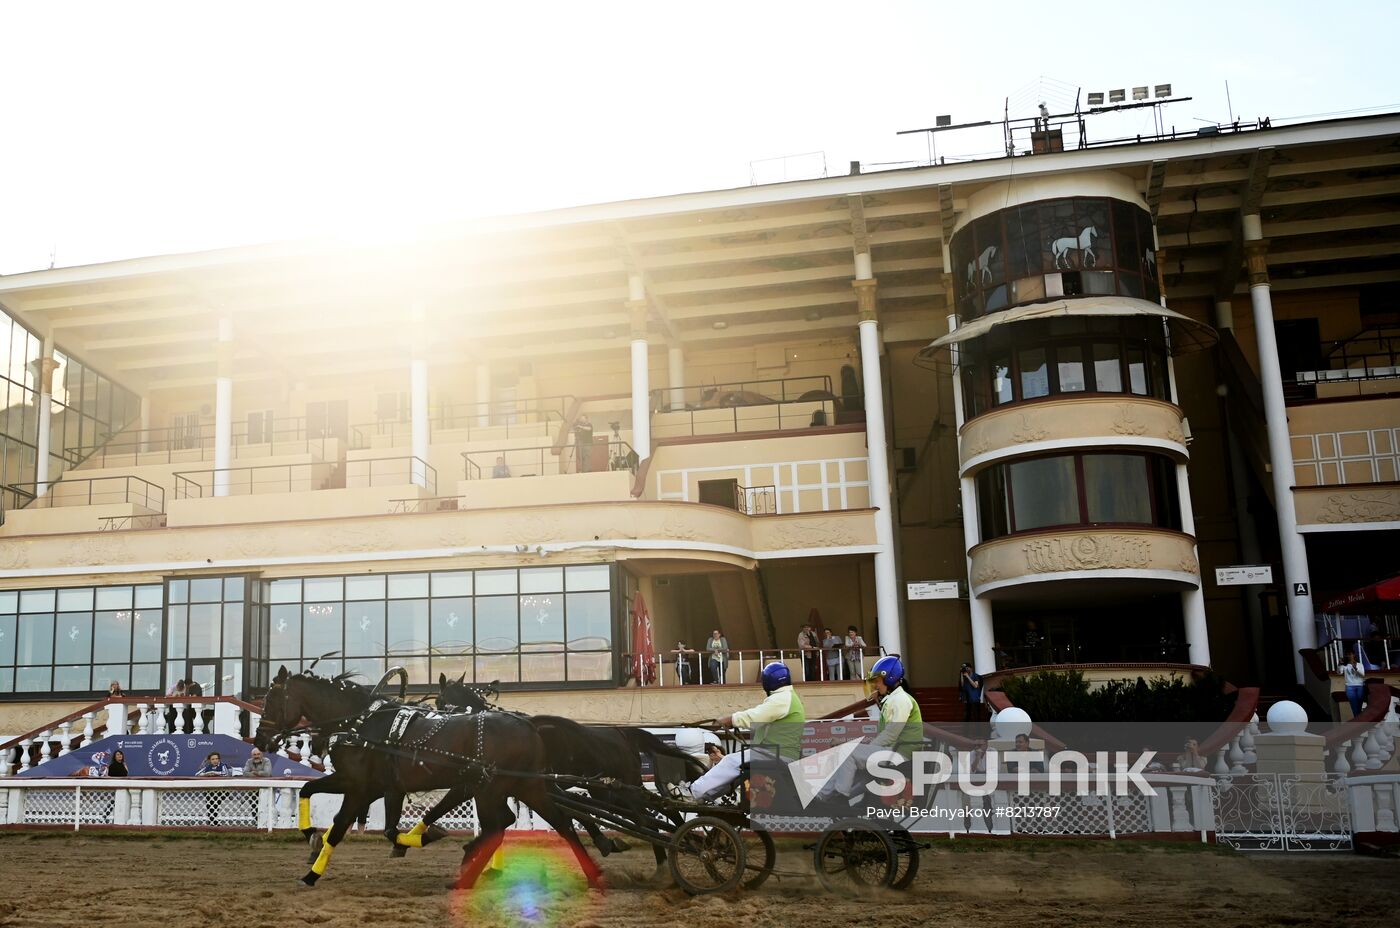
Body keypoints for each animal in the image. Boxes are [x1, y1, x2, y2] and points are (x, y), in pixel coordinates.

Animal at [254, 669, 604, 895]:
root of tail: (528, 726)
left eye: (270, 699)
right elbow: (311, 791)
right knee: (561, 824)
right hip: (525, 787)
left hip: (490, 787)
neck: (360, 724)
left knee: (500, 826)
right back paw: (593, 874)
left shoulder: (357, 786)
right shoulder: (377, 787)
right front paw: (313, 838)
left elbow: (344, 827)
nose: (260, 739)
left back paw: (466, 877)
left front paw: (311, 874)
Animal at [434, 674, 700, 879]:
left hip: (612, 789)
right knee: (658, 812)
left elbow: (573, 816)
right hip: (619, 787)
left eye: (439, 701)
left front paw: (605, 843)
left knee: (649, 815)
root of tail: (622, 733)